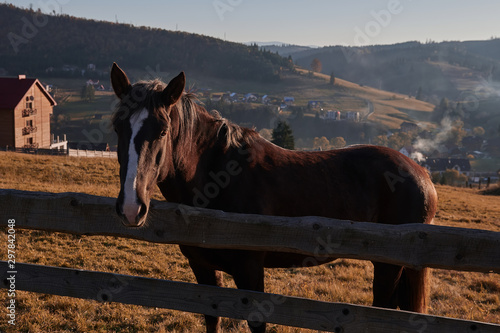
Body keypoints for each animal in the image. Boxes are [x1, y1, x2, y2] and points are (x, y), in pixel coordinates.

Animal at [110, 63, 438, 332]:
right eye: (117, 126)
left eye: (163, 130)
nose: (131, 207)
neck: (217, 178)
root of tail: (422, 173)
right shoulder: (202, 268)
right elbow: (212, 318)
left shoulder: (250, 270)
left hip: (389, 265)